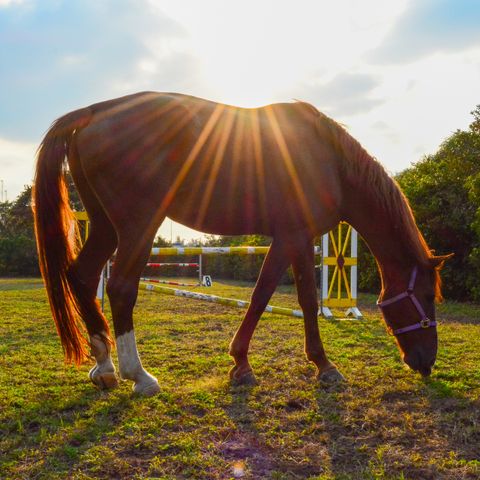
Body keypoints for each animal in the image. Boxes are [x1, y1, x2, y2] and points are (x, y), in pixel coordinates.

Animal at [32, 92, 450, 396]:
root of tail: (94, 112)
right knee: (119, 287)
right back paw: (140, 376)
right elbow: (276, 296)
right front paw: (287, 364)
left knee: (83, 277)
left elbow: (289, 298)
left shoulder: (295, 240)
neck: (328, 161)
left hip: (105, 227)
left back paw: (104, 368)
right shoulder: (292, 237)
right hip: (138, 227)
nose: (426, 361)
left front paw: (275, 363)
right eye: (426, 297)